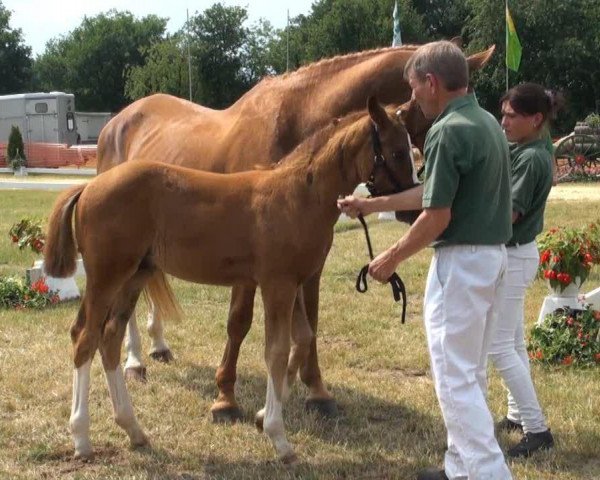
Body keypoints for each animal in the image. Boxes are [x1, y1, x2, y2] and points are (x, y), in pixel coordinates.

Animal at [44, 99, 418, 464]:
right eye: (399, 152)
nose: (411, 210)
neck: (297, 194)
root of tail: (88, 186)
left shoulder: (294, 282)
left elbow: (302, 338)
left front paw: (264, 413)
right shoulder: (277, 284)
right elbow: (276, 350)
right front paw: (279, 438)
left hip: (135, 276)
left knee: (109, 338)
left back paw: (133, 429)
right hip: (107, 277)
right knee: (85, 339)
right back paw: (82, 439)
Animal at [96, 44, 494, 420]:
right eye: (405, 146)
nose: (415, 209)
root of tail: (118, 122)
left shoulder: (307, 264)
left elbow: (310, 324)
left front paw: (316, 392)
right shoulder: (251, 263)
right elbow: (238, 323)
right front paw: (226, 398)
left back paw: (158, 345)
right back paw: (134, 362)